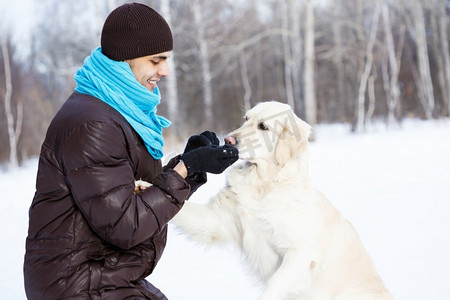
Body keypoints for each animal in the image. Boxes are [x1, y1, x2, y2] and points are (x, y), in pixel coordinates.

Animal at [171, 101, 392, 300]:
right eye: (246, 119)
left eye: (263, 126)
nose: (228, 140)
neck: (264, 184)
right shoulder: (218, 219)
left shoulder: (300, 253)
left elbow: (275, 284)